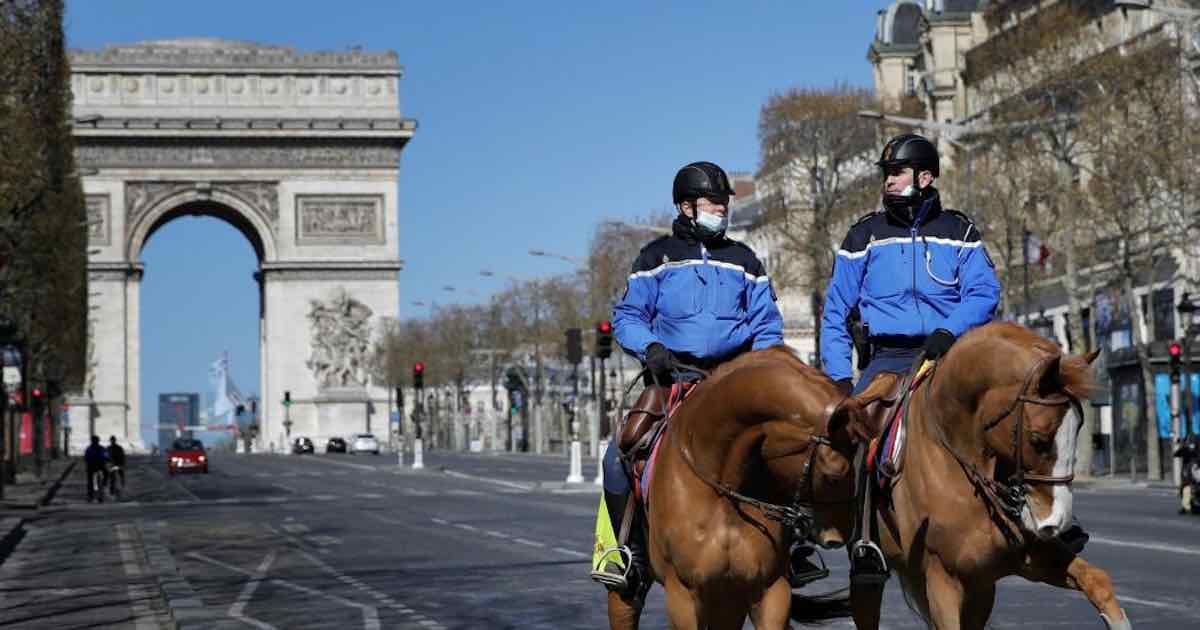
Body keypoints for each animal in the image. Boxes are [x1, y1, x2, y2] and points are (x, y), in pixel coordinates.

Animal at [604, 345, 878, 624]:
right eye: (835, 474)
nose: (840, 536)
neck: (721, 490)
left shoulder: (768, 589)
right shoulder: (682, 594)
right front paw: (657, 355)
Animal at [844, 324, 1132, 628]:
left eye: (1078, 429)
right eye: (1038, 439)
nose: (1057, 522)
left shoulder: (1021, 560)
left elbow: (1098, 581)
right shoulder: (941, 578)